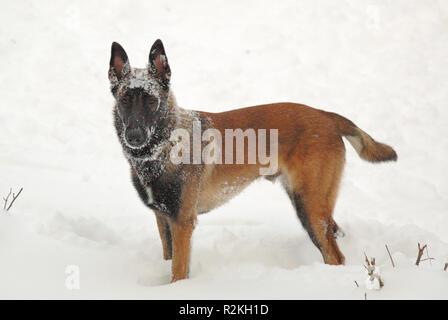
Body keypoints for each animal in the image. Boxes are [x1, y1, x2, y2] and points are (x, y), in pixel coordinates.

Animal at [110, 38, 398, 282]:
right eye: (125, 101)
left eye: (150, 101)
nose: (134, 136)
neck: (162, 147)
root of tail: (325, 115)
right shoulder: (164, 220)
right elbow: (169, 260)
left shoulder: (182, 223)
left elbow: (178, 272)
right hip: (310, 202)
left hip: (309, 205)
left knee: (334, 255)